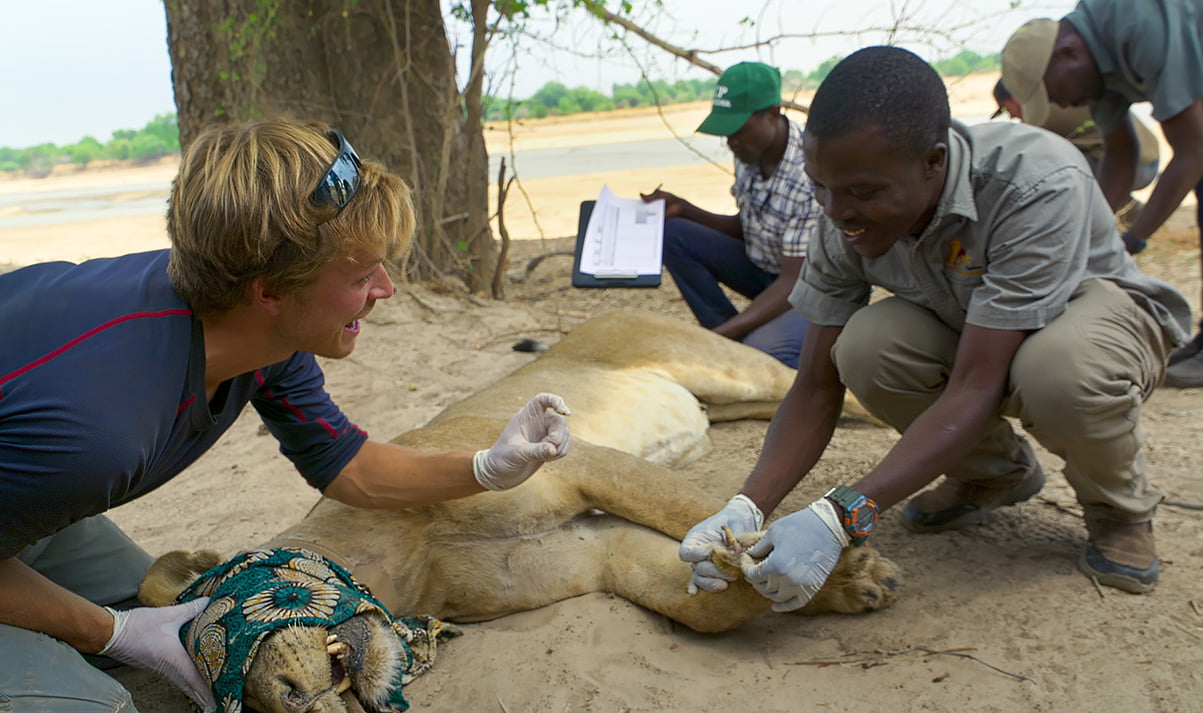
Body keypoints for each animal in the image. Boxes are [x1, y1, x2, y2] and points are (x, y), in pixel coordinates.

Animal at [139, 311, 900, 713]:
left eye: (228, 627)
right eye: (225, 691)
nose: (288, 696)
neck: (399, 569)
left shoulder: (576, 461)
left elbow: (705, 512)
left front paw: (833, 563)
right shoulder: (601, 553)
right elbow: (703, 605)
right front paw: (837, 583)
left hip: (728, 368)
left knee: (826, 387)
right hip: (734, 401)